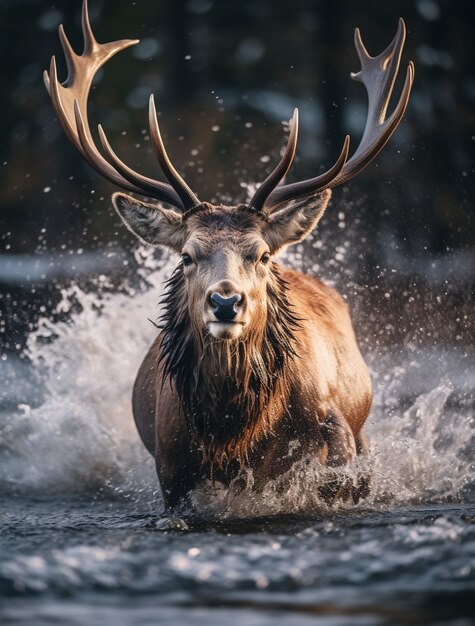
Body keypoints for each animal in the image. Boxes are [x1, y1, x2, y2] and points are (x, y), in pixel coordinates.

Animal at [46, 0, 414, 508]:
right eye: (187, 256)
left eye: (261, 255)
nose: (225, 301)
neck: (235, 429)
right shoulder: (169, 466)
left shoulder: (336, 430)